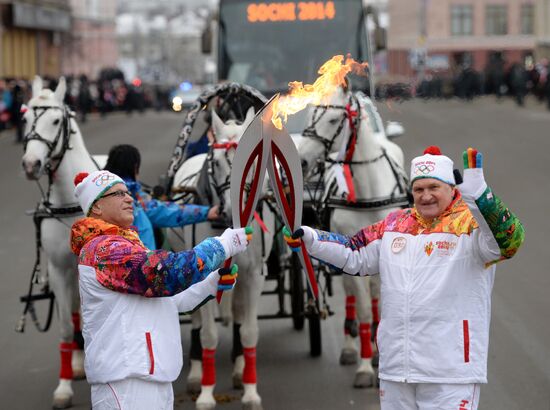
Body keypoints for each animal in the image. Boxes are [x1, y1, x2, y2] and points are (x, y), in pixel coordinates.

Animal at [170, 107, 276, 408]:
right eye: (215, 162)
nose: (230, 210)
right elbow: (208, 335)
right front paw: (206, 393)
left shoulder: (253, 276)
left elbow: (249, 330)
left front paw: (251, 392)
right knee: (195, 321)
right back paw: (195, 374)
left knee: (239, 315)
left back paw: (240, 369)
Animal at [298, 85, 410, 388]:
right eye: (310, 116)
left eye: (333, 120)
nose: (301, 160)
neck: (368, 191)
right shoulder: (352, 250)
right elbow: (361, 308)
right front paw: (364, 367)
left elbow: (379, 303)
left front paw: (379, 355)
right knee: (351, 293)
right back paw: (351, 345)